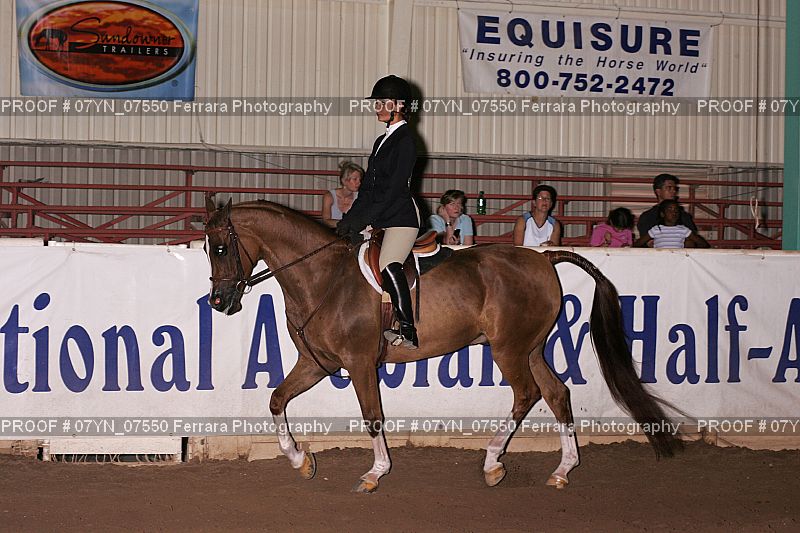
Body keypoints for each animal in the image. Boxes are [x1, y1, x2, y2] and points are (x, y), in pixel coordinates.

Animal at [204, 198, 680, 493]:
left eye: (222, 247)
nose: (219, 302)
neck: (323, 277)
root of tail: (543, 257)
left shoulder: (358, 364)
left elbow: (373, 417)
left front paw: (375, 473)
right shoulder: (316, 363)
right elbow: (276, 399)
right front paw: (300, 460)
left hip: (508, 350)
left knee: (527, 394)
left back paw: (493, 464)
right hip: (530, 348)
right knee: (557, 393)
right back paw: (561, 471)